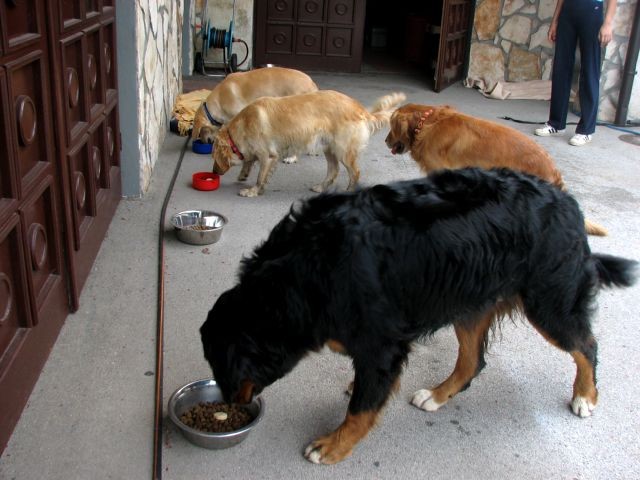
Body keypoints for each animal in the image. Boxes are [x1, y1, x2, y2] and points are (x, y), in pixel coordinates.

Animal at [200, 168, 636, 464]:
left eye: (226, 366)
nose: (230, 404)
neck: (305, 269)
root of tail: (568, 201)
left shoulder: (382, 345)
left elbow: (360, 408)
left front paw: (334, 445)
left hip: (549, 304)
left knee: (586, 346)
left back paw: (585, 396)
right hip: (470, 302)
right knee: (473, 361)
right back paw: (437, 396)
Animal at [214, 90, 404, 197]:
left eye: (214, 158)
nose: (214, 172)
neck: (243, 124)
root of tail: (360, 109)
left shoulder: (268, 156)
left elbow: (260, 177)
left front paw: (252, 191)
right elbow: (249, 161)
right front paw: (244, 174)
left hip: (342, 150)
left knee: (355, 173)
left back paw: (349, 192)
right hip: (329, 148)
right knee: (333, 171)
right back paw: (321, 187)